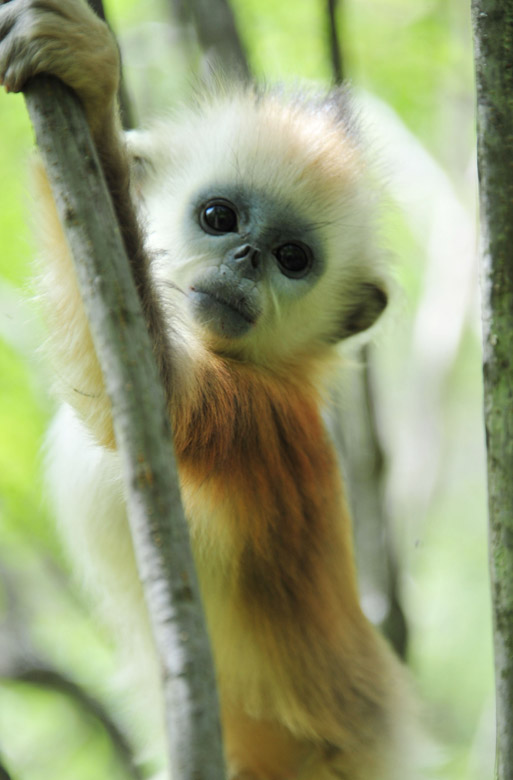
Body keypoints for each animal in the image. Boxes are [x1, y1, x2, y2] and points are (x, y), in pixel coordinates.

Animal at [0, 3, 420, 776]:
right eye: (219, 218)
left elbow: (152, 395)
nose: (247, 259)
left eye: (292, 258)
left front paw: (94, 90)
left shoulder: (262, 424)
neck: (261, 364)